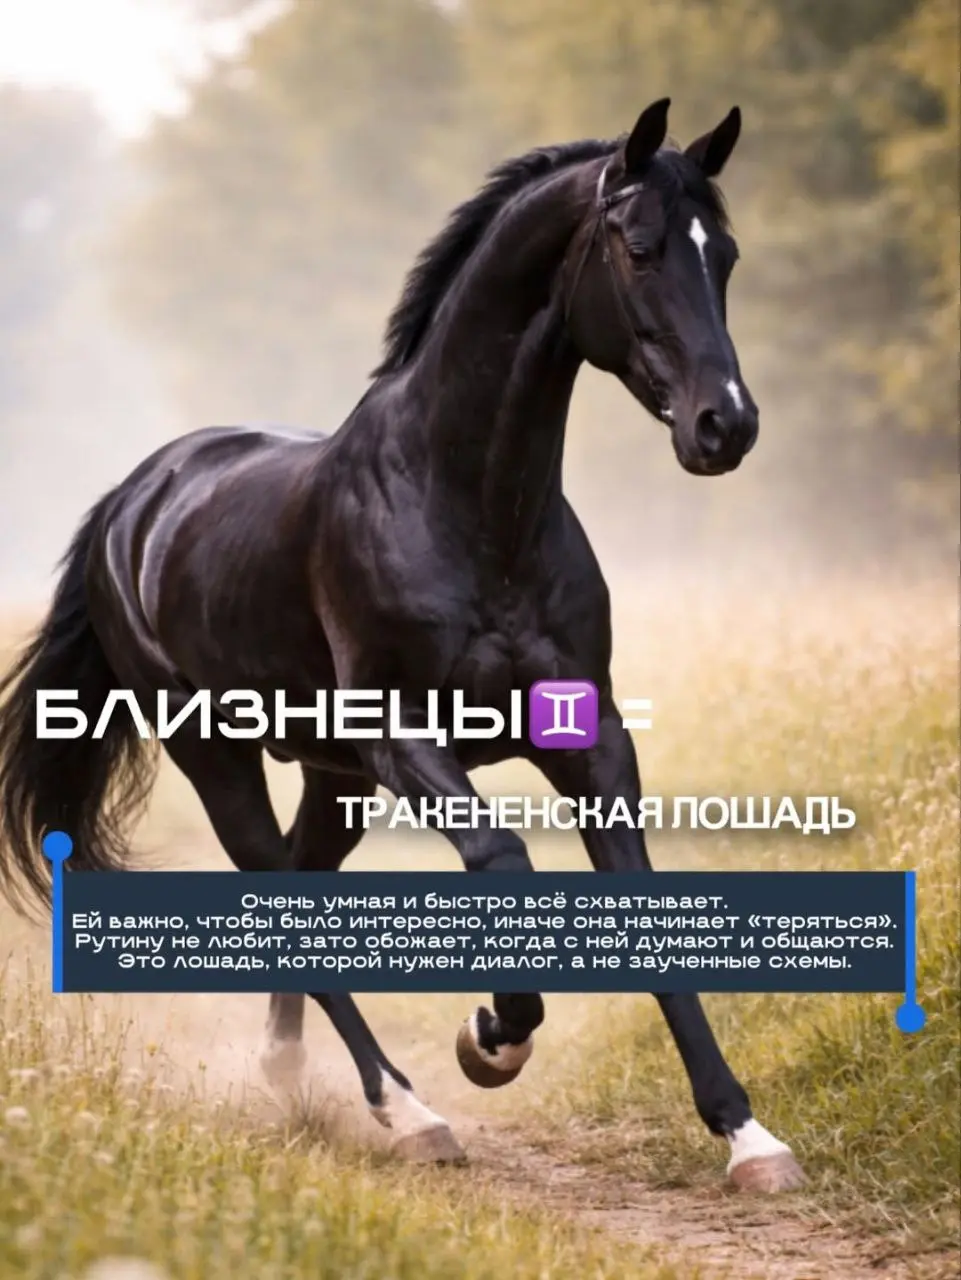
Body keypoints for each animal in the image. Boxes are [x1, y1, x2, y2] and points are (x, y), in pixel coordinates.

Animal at [0, 98, 804, 1191]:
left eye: (722, 253)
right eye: (637, 248)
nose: (725, 426)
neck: (468, 510)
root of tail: (133, 501)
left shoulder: (591, 742)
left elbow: (637, 903)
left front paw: (748, 1136)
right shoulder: (403, 737)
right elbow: (502, 858)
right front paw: (491, 1036)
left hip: (330, 776)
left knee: (307, 882)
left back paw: (290, 1073)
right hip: (219, 759)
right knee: (281, 898)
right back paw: (408, 1109)